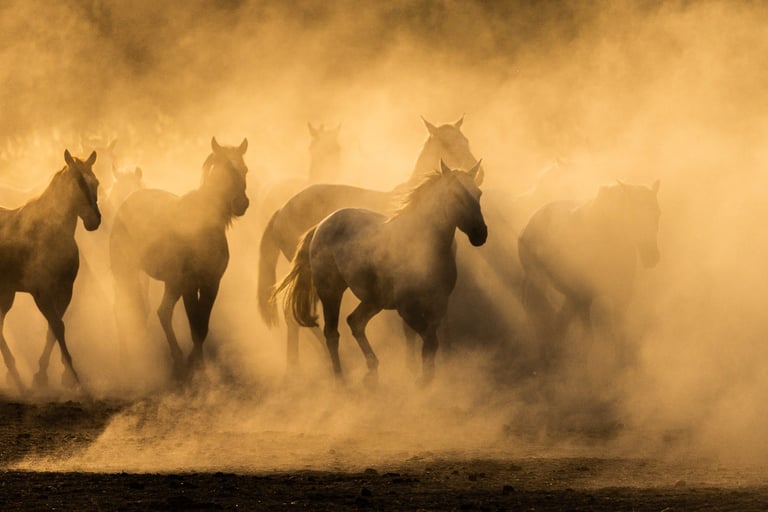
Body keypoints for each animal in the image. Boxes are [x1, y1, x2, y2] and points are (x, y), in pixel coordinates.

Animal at [0, 149, 101, 394]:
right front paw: (73, 377)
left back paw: (14, 374)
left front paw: (43, 376)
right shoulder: (42, 293)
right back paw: (15, 374)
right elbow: (58, 326)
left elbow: (52, 330)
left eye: (96, 183)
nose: (94, 221)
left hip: (6, 293)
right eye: (77, 183)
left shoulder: (65, 291)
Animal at [110, 137, 249, 381]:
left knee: (161, 312)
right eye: (223, 170)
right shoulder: (189, 285)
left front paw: (194, 362)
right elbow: (195, 325)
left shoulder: (212, 283)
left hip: (170, 283)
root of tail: (125, 202)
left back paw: (176, 359)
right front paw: (199, 368)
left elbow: (202, 326)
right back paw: (127, 359)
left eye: (244, 169)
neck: (203, 228)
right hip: (126, 274)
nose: (241, 203)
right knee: (124, 311)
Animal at [259, 116, 482, 369]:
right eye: (446, 144)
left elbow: (441, 323)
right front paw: (412, 364)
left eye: (465, 140)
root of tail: (281, 210)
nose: (478, 172)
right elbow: (410, 330)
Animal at [517, 180, 661, 370]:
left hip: (566, 294)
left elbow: (620, 333)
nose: (652, 257)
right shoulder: (585, 300)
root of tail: (529, 223)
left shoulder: (620, 298)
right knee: (539, 314)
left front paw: (623, 367)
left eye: (657, 214)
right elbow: (589, 339)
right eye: (633, 215)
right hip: (541, 284)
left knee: (556, 320)